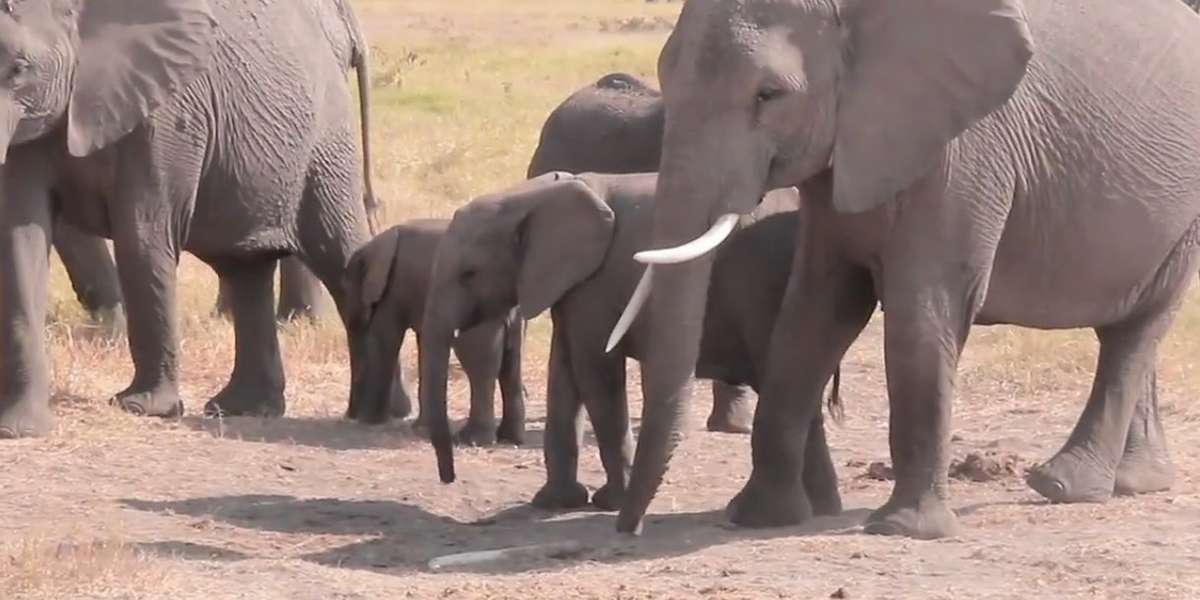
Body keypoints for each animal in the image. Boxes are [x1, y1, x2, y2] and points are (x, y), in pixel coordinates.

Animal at [0, 0, 374, 436]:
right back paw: (242, 408)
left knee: (337, 253)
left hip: (324, 141)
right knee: (246, 269)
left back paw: (375, 411)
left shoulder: (168, 117)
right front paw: (19, 428)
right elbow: (20, 243)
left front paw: (142, 408)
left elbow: (142, 237)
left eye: (19, 69)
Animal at [340, 220, 523, 446]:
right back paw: (511, 438)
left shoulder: (393, 289)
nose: (350, 415)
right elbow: (425, 344)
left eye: (346, 289)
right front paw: (421, 428)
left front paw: (368, 422)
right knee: (511, 364)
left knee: (480, 368)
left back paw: (471, 440)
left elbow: (385, 338)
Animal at [417, 171, 840, 513]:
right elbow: (565, 376)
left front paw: (609, 503)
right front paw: (556, 503)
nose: (449, 477)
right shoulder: (571, 286)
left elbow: (596, 375)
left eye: (469, 274)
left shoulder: (596, 283)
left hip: (761, 289)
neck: (531, 195)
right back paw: (822, 510)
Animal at [614, 0, 1195, 540]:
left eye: (768, 95)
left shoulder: (963, 151)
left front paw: (905, 529)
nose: (628, 528)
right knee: (1126, 327)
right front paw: (757, 517)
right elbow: (813, 315)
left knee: (1137, 330)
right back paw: (1136, 482)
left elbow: (922, 317)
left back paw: (1062, 485)